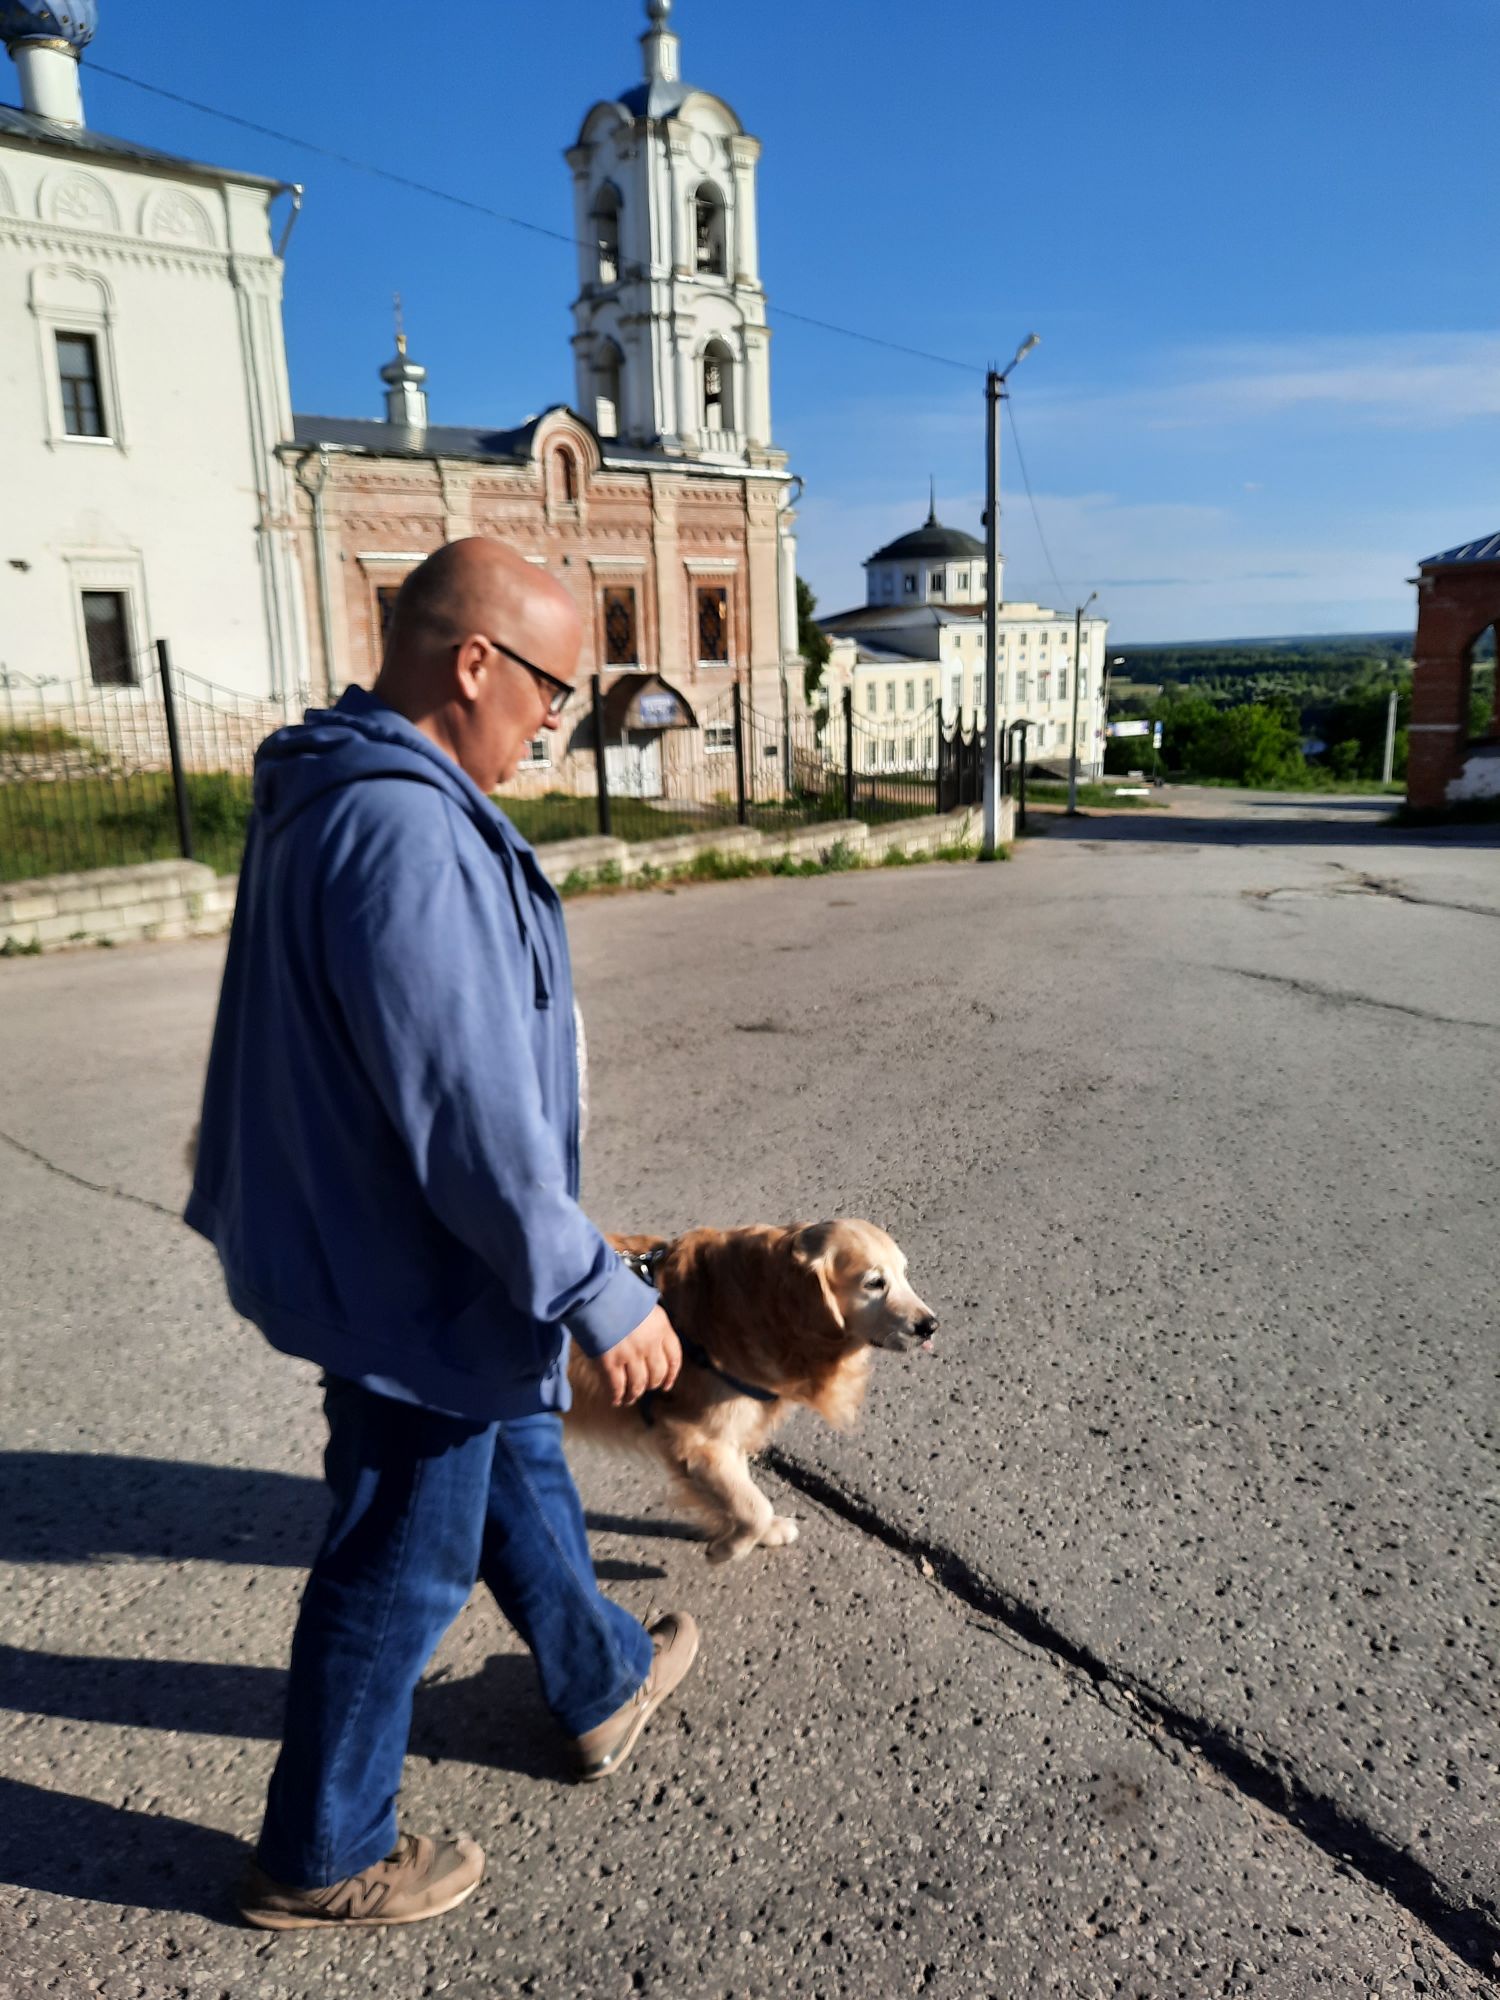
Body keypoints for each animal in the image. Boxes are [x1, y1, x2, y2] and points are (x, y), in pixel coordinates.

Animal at [565, 1220, 936, 1563]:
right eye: (874, 1283)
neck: (767, 1306)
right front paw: (727, 1549)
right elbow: (755, 1507)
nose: (930, 1325)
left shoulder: (734, 1431)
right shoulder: (698, 1441)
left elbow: (746, 1495)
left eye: (903, 1273)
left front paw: (765, 1533)